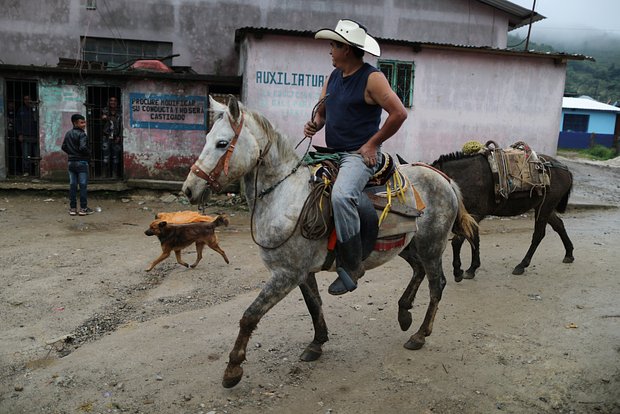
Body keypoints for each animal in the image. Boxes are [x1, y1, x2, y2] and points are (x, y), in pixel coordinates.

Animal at [182, 94, 478, 388]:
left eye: (222, 143)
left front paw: (233, 368)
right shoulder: (302, 273)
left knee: (437, 284)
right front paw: (317, 343)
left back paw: (419, 334)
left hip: (431, 246)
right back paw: (404, 313)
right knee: (418, 270)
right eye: (207, 138)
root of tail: (443, 178)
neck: (285, 195)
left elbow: (250, 315)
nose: (189, 189)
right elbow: (314, 306)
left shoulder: (286, 274)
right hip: (406, 244)